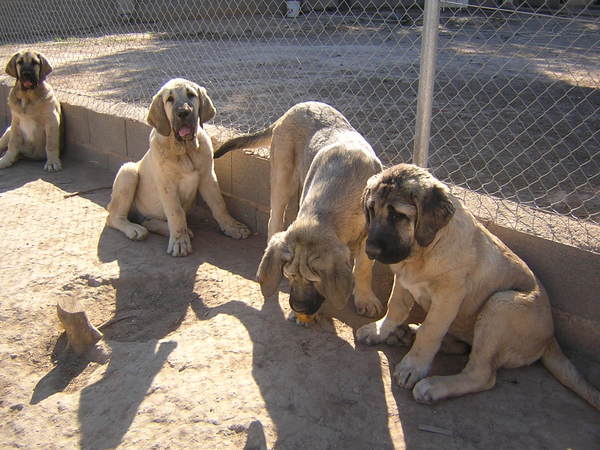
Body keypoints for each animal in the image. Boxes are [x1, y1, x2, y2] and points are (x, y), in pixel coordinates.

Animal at [106, 78, 250, 256]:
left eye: (191, 95)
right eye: (169, 99)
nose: (183, 113)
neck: (185, 150)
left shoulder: (208, 177)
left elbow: (219, 204)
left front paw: (232, 226)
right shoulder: (167, 186)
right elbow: (176, 213)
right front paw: (180, 242)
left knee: (147, 221)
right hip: (128, 172)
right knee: (113, 217)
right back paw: (135, 229)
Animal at [214, 102, 384, 320]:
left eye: (315, 281)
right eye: (290, 276)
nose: (299, 308)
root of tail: (294, 108)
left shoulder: (369, 235)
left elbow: (363, 267)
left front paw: (365, 298)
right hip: (282, 178)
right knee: (274, 220)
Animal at [356, 163, 600, 410]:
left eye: (398, 215)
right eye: (371, 210)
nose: (370, 251)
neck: (424, 251)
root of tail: (551, 337)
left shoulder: (448, 296)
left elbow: (431, 331)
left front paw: (413, 366)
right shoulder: (404, 281)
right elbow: (395, 308)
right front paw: (381, 330)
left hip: (500, 305)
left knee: (482, 374)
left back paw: (435, 385)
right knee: (463, 347)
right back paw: (405, 334)